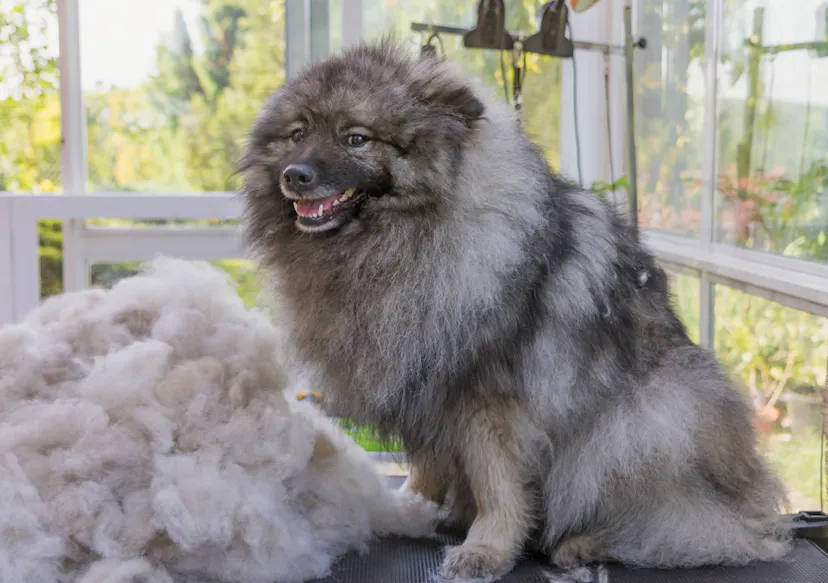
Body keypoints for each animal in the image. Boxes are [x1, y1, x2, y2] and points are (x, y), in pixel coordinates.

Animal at [238, 39, 792, 582]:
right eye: (297, 134)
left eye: (356, 138)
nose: (295, 175)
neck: (397, 241)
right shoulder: (428, 386)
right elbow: (430, 464)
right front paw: (413, 508)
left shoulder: (491, 399)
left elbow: (497, 483)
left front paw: (486, 547)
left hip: (645, 418)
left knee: (686, 525)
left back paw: (586, 543)